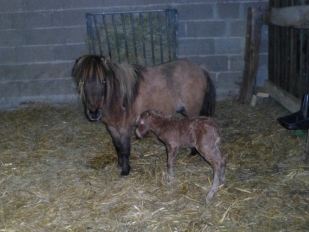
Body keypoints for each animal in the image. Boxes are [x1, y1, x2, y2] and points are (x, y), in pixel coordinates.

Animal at [72, 55, 215, 175]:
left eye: (103, 81)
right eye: (83, 82)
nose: (93, 112)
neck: (119, 98)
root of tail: (200, 68)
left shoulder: (125, 128)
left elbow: (125, 149)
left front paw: (125, 170)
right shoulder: (112, 127)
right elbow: (118, 147)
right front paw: (120, 164)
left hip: (192, 110)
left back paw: (193, 153)